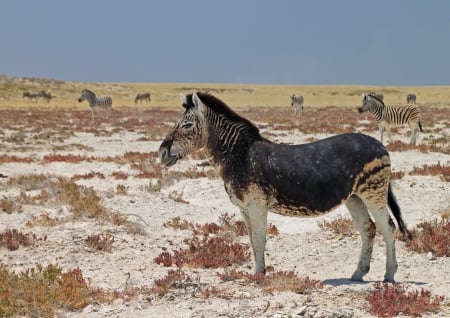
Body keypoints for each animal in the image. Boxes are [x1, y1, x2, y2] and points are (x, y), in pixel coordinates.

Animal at [161, 92, 412, 284]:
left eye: (187, 125)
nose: (161, 153)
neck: (240, 156)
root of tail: (379, 144)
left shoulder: (257, 205)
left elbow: (259, 239)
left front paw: (258, 276)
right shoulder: (244, 208)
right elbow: (251, 240)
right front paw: (257, 272)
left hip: (373, 191)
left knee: (388, 227)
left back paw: (389, 275)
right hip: (354, 197)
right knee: (368, 228)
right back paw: (358, 274)